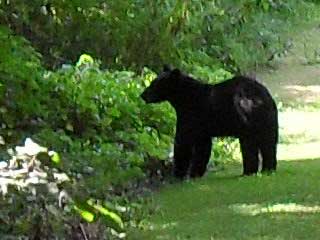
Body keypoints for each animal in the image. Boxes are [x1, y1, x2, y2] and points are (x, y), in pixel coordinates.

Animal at [140, 65, 278, 178]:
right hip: (267, 121)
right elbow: (203, 147)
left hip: (246, 117)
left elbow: (183, 142)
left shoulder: (190, 116)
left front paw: (179, 174)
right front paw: (196, 173)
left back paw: (248, 172)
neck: (184, 98)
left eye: (155, 84)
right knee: (268, 143)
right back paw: (268, 169)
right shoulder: (202, 129)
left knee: (250, 145)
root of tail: (262, 95)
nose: (143, 95)